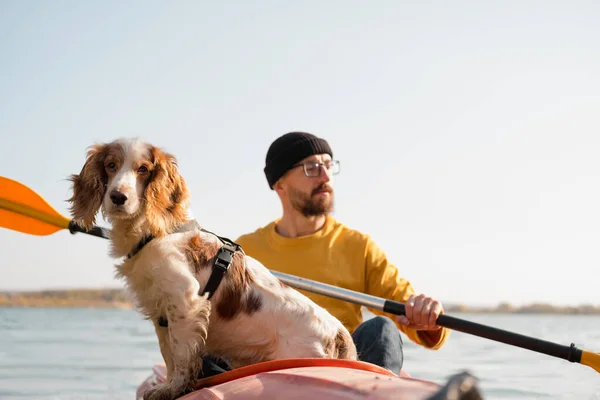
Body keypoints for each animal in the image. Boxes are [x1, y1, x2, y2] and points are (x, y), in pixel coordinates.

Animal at [67, 138, 356, 400]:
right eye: (111, 165)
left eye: (143, 169)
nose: (118, 197)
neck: (156, 230)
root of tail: (338, 334)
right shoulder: (161, 311)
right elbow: (168, 355)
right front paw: (168, 385)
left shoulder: (185, 300)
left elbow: (180, 355)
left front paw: (173, 388)